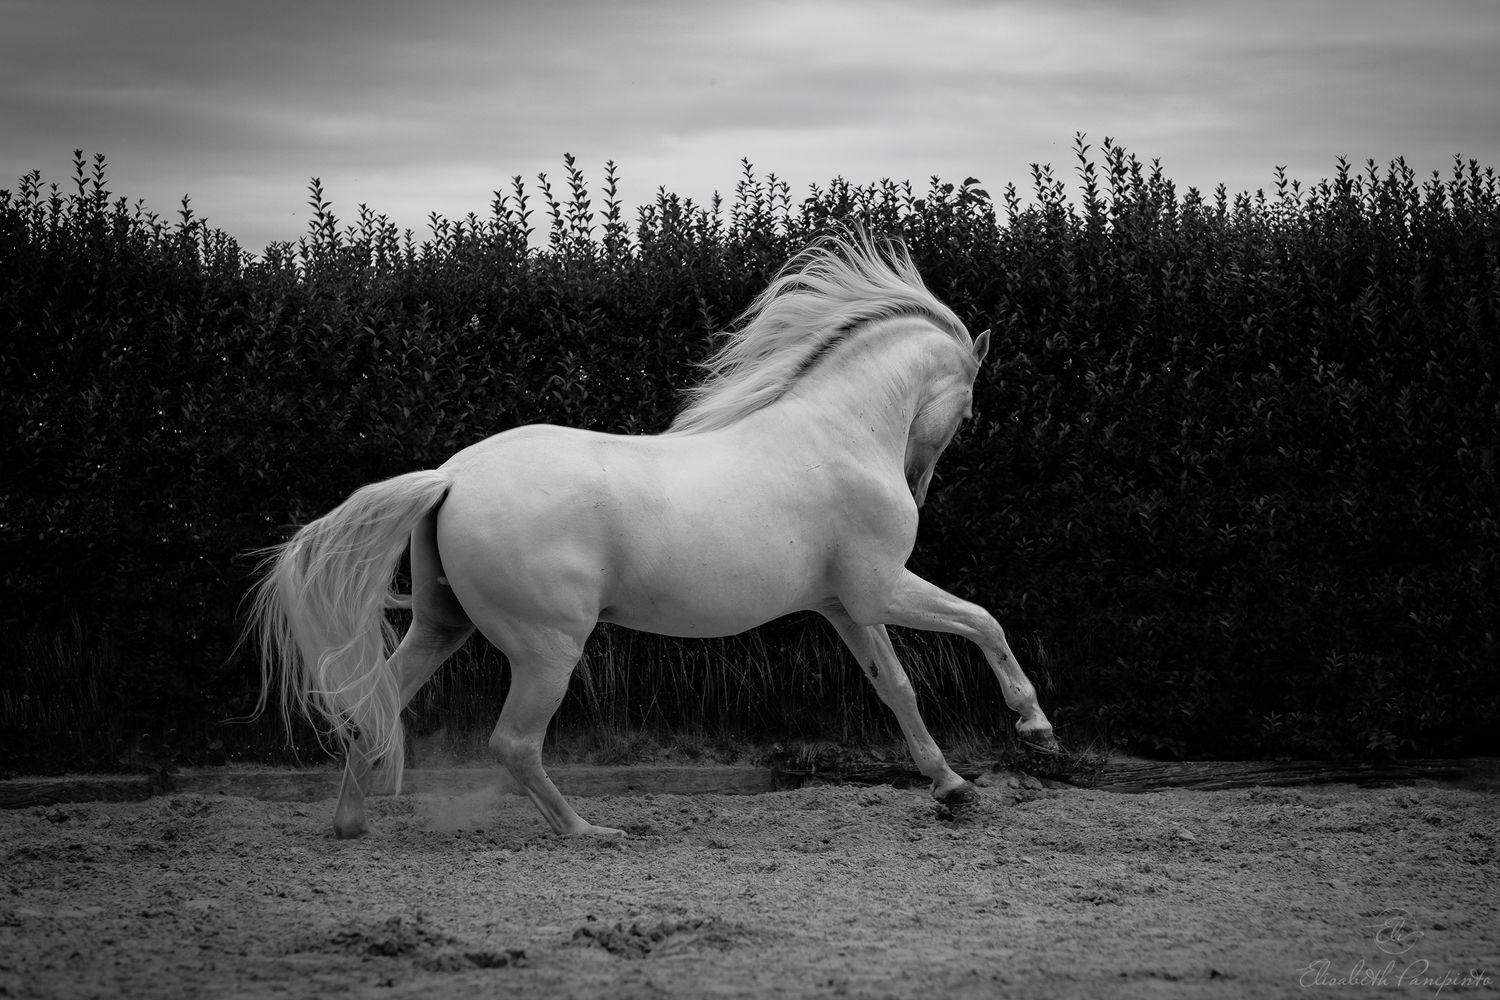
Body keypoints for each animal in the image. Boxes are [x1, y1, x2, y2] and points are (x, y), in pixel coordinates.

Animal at [250, 233, 1057, 840]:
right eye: (970, 409)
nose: (917, 486)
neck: (838, 431)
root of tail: (450, 476)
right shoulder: (883, 587)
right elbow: (984, 621)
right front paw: (1035, 728)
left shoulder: (844, 605)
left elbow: (897, 689)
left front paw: (952, 788)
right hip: (548, 647)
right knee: (512, 743)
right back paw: (589, 832)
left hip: (441, 626)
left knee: (373, 710)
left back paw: (350, 824)